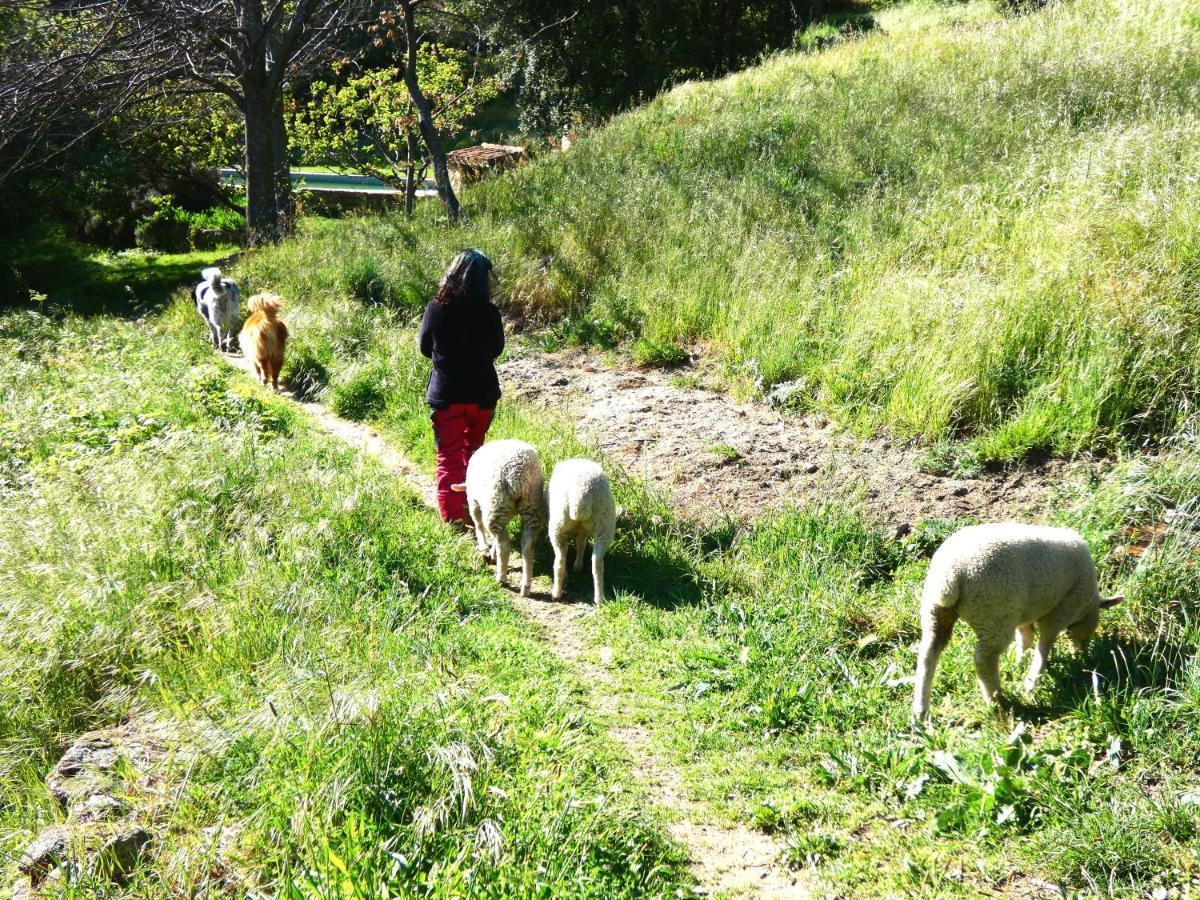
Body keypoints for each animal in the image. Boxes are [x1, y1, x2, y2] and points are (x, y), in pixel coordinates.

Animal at [458, 439, 544, 595]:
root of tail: (517, 475)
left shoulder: (474, 501)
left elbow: (478, 524)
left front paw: (484, 546)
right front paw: (491, 551)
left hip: (496, 505)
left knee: (503, 545)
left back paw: (501, 578)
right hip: (533, 506)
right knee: (528, 546)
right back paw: (525, 586)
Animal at [547, 460, 614, 602]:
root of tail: (581, 496)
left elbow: (580, 543)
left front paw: (577, 567)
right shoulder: (583, 530)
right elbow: (581, 543)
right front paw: (578, 566)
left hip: (557, 527)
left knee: (560, 561)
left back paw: (556, 593)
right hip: (605, 525)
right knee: (597, 563)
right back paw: (599, 598)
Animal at [912, 520, 1118, 720]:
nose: (1082, 655)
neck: (1087, 604)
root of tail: (951, 576)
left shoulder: (1024, 612)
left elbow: (1026, 636)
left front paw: (1019, 661)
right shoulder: (1061, 610)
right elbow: (1045, 643)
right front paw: (1032, 680)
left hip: (935, 610)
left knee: (928, 652)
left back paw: (921, 710)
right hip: (994, 615)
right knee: (983, 659)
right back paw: (996, 700)